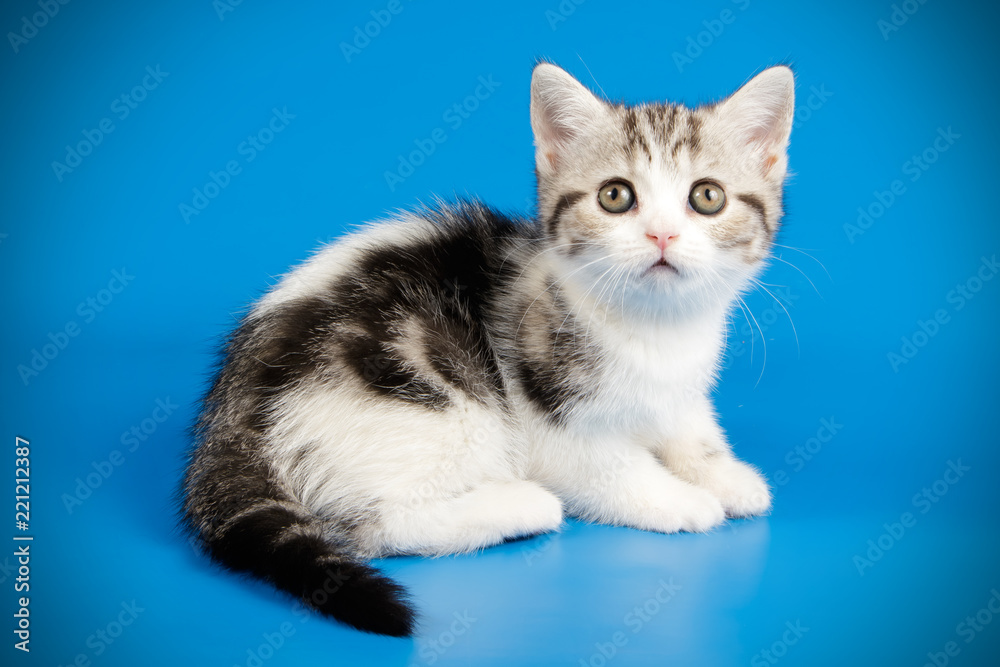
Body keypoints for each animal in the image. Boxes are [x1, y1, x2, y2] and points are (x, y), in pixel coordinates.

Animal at [182, 61, 796, 636]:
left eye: (707, 197)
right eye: (616, 196)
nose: (662, 235)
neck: (654, 328)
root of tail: (232, 413)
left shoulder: (681, 387)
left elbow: (690, 424)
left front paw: (724, 473)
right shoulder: (545, 416)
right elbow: (610, 466)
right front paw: (681, 500)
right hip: (439, 402)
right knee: (377, 523)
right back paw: (521, 505)